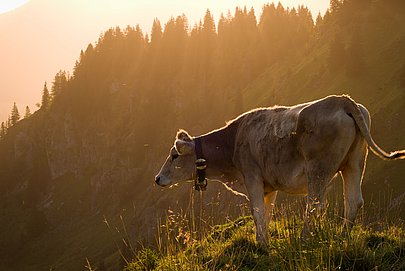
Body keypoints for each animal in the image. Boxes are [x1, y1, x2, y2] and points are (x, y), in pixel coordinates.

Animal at [154, 94, 400, 245]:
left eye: (174, 156)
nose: (157, 178)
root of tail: (341, 99)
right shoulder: (268, 187)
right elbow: (266, 214)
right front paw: (262, 240)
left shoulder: (252, 176)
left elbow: (256, 212)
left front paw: (261, 244)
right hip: (354, 162)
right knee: (353, 200)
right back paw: (343, 236)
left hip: (318, 169)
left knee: (315, 205)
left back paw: (304, 238)